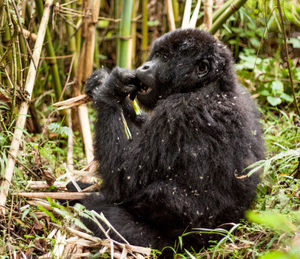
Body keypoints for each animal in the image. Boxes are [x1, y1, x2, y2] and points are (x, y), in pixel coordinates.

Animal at [76, 29, 264, 254]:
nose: (144, 66)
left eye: (165, 58)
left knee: (159, 195)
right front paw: (101, 81)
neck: (211, 84)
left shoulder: (178, 113)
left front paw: (111, 89)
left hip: (189, 239)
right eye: (156, 54)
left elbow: (125, 178)